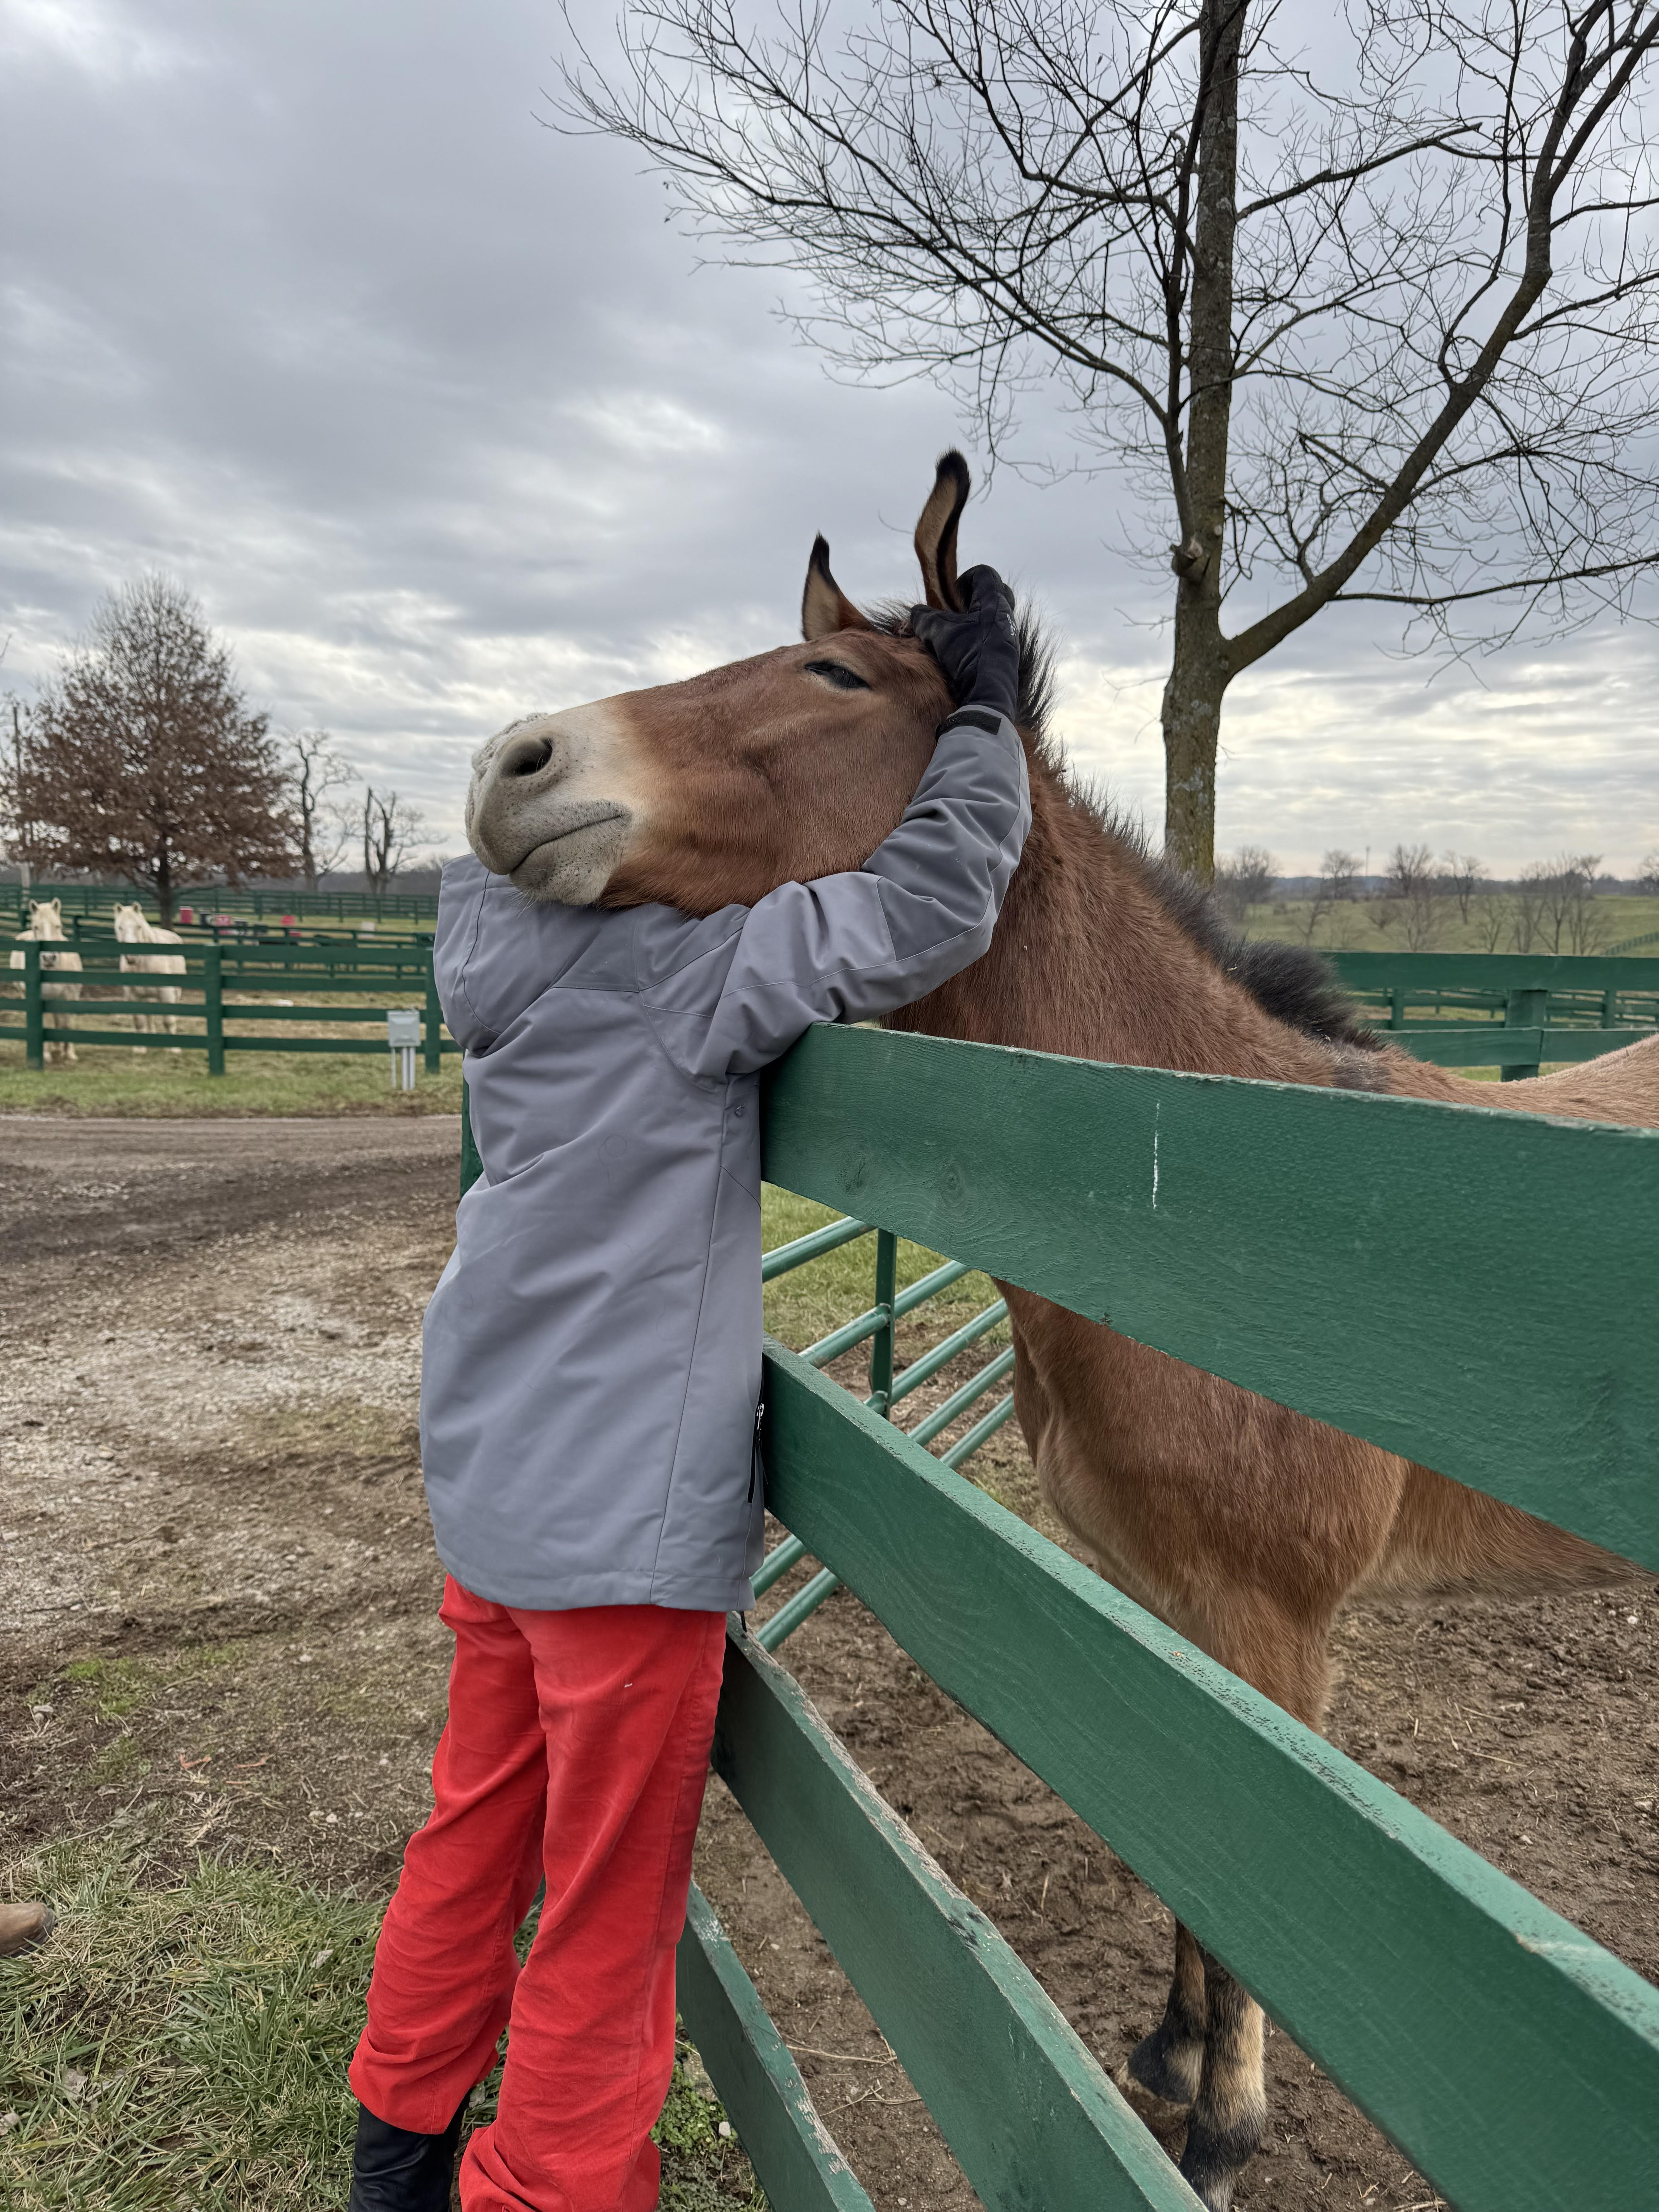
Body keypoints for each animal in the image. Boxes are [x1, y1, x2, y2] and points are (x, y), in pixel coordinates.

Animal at [7, 902, 84, 1066]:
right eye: (36, 927)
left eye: (58, 926)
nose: (49, 958)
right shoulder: (45, 999)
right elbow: (48, 1024)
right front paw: (48, 1055)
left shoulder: (71, 997)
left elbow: (68, 1024)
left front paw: (70, 1054)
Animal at [111, 893, 184, 1048]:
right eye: (120, 928)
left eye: (139, 927)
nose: (131, 957)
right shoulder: (133, 996)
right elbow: (139, 1022)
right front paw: (140, 1049)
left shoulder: (166, 993)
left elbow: (168, 1020)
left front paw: (174, 1049)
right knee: (149, 1017)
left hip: (176, 992)